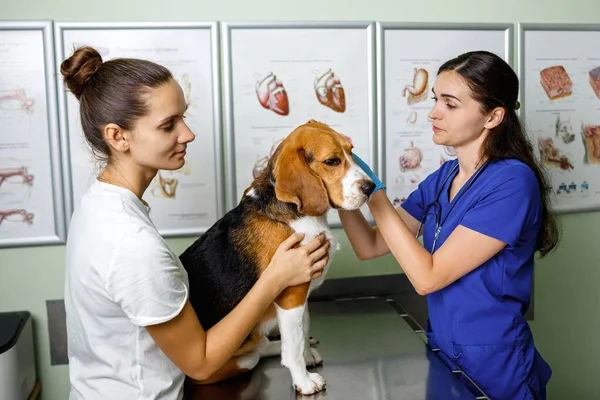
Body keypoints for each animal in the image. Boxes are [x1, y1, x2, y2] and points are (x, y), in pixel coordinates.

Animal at [179, 119, 376, 394]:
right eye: (332, 161)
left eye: (351, 151)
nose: (371, 187)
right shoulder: (291, 293)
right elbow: (293, 346)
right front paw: (303, 380)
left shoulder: (301, 293)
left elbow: (303, 327)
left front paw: (307, 356)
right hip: (228, 362)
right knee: (255, 352)